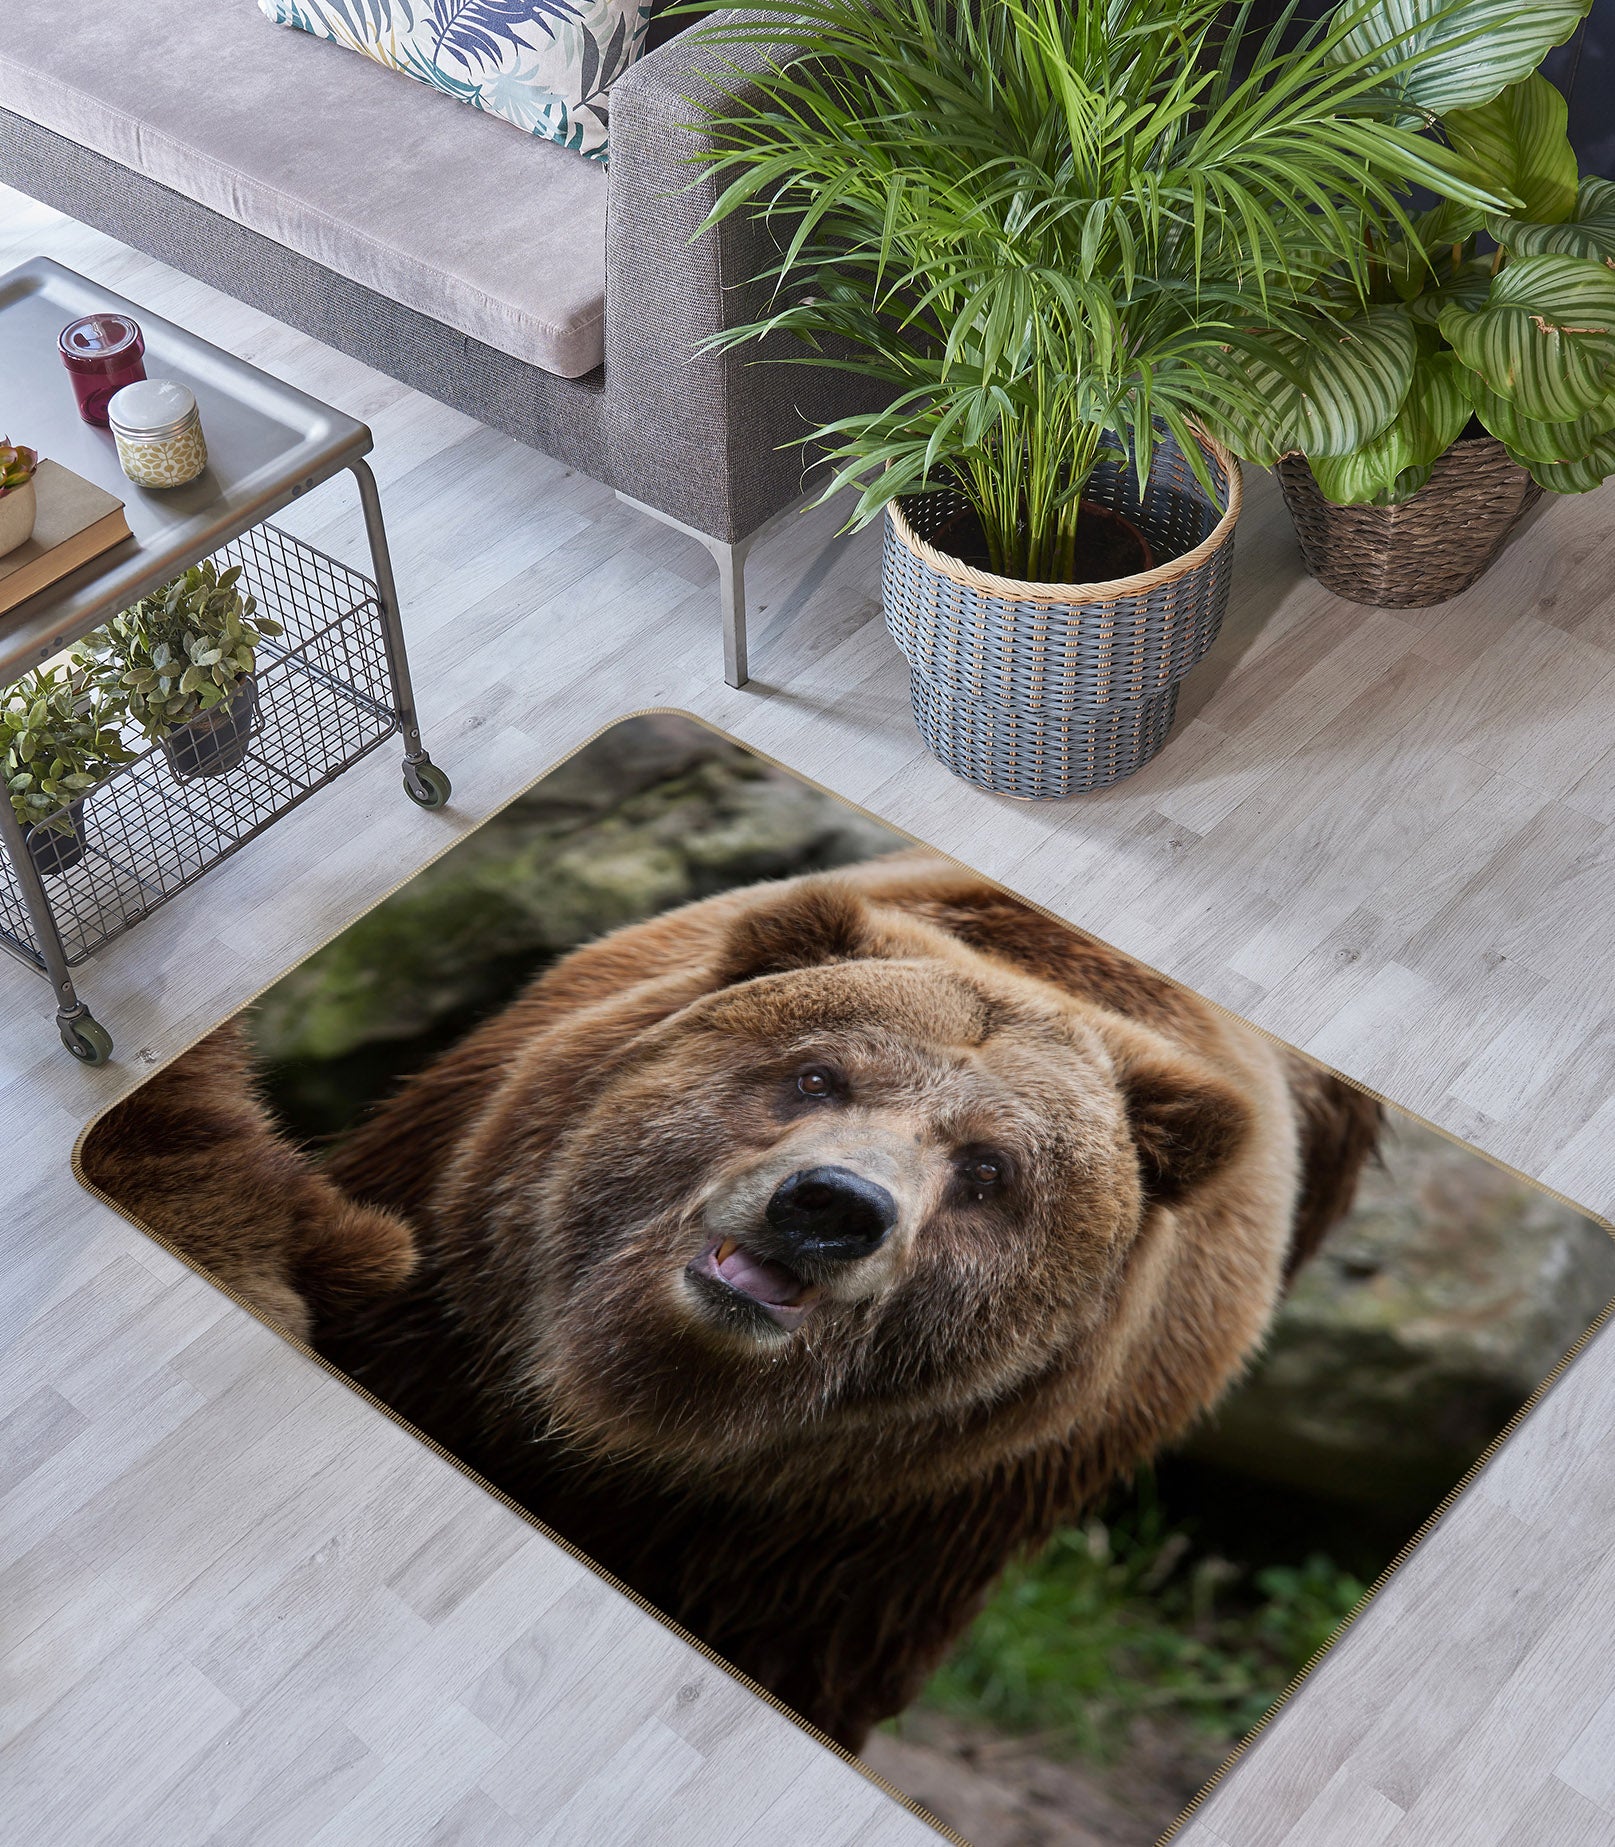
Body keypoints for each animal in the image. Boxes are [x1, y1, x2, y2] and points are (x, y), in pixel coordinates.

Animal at [82, 849, 1379, 1751]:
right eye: (818, 1072)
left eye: (988, 1170)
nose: (833, 1204)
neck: (638, 1403)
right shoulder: (447, 1289)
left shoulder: (867, 1531)